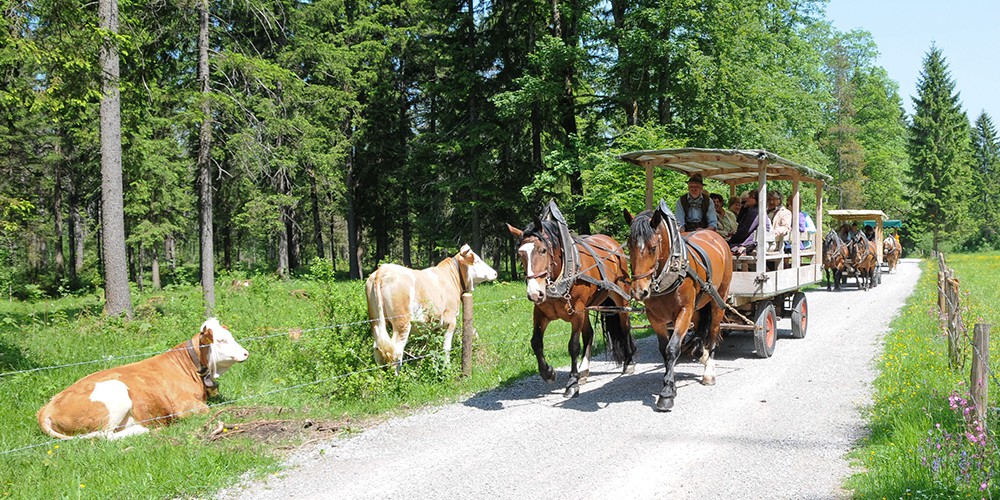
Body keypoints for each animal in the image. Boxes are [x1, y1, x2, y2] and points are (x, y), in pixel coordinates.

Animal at [38, 318, 250, 440]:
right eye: (221, 340)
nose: (245, 353)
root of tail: (48, 406)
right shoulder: (185, 407)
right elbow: (210, 410)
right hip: (116, 393)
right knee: (106, 436)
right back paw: (143, 430)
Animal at [366, 243, 498, 366]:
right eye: (477, 260)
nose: (495, 273)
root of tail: (383, 270)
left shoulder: (436, 324)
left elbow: (435, 346)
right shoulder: (451, 319)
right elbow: (446, 347)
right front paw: (447, 367)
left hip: (376, 321)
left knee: (378, 349)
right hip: (402, 323)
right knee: (396, 351)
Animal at [504, 212, 636, 398]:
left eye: (543, 250)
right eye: (520, 254)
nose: (534, 293)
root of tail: (611, 241)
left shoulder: (577, 313)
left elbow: (573, 346)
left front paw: (572, 383)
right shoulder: (541, 313)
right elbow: (536, 342)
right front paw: (548, 373)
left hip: (620, 298)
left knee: (624, 327)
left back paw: (628, 362)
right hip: (588, 308)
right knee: (589, 334)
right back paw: (584, 371)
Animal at [620, 201, 732, 412]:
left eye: (653, 247)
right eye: (629, 246)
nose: (639, 291)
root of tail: (716, 237)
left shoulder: (683, 312)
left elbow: (672, 349)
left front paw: (666, 395)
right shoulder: (655, 317)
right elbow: (664, 350)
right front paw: (669, 384)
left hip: (718, 299)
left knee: (713, 331)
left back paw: (709, 370)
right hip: (698, 306)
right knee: (700, 329)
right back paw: (700, 353)